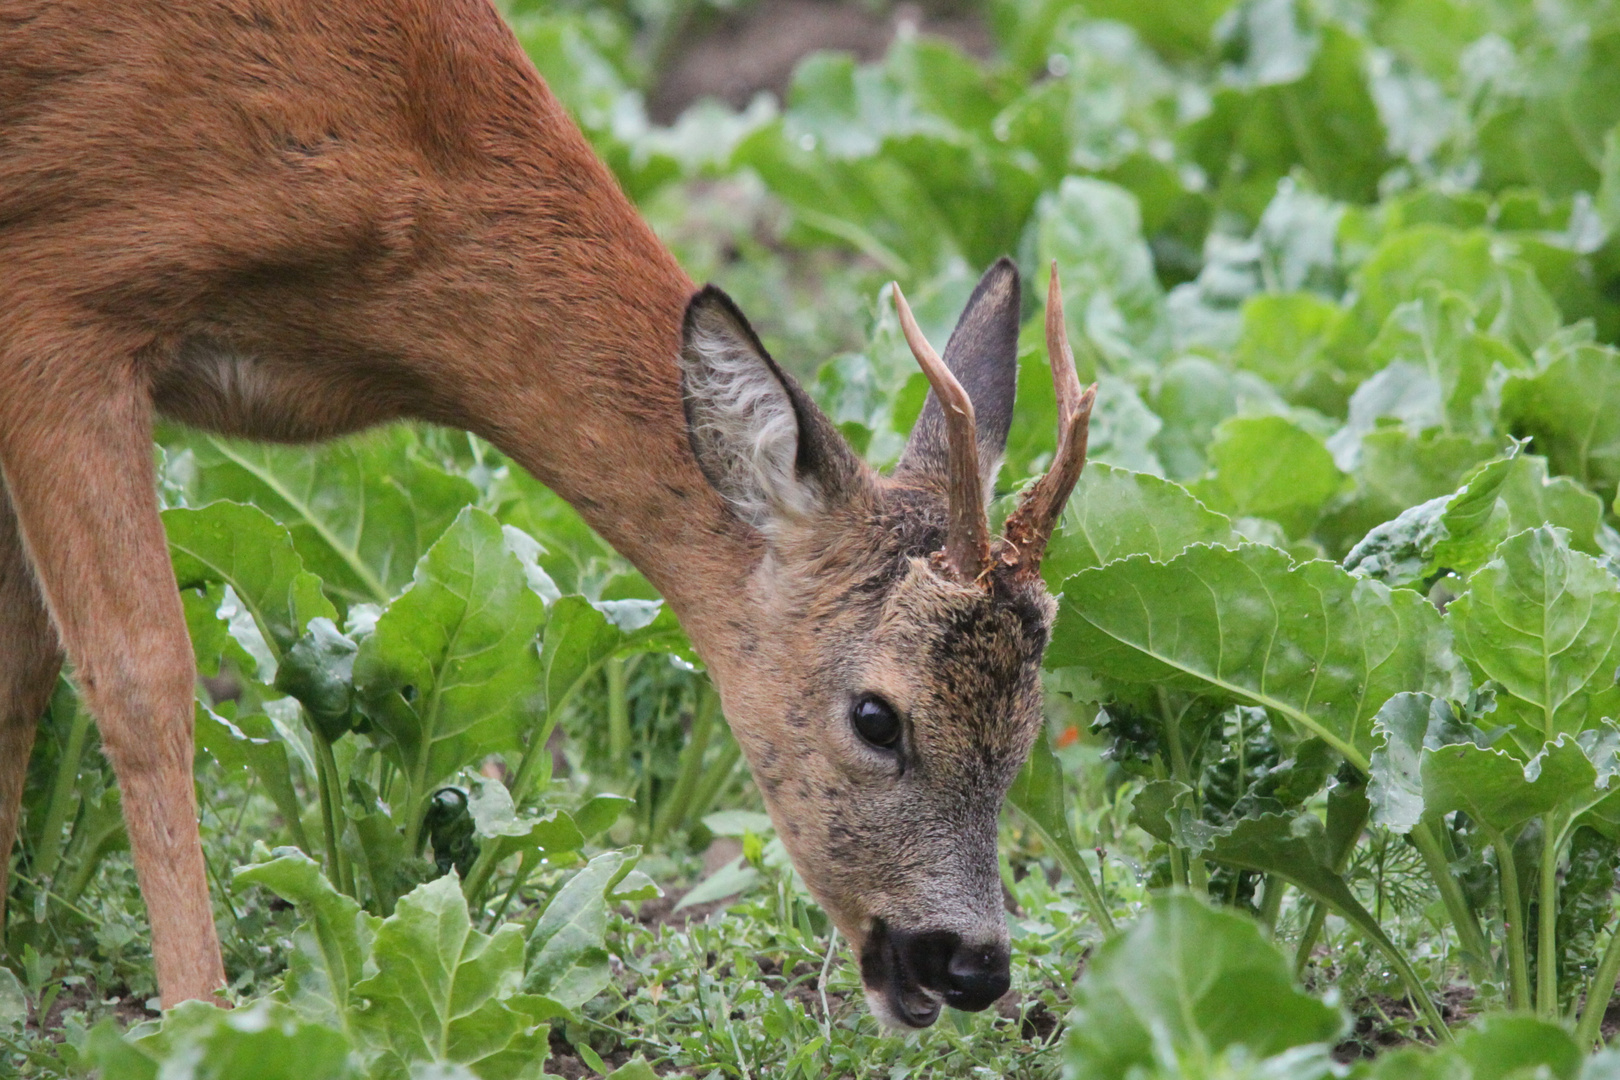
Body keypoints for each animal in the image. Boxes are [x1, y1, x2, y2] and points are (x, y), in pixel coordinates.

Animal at [0, 0, 1095, 1029]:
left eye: (1030, 721)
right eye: (877, 716)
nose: (973, 965)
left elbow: (24, 668)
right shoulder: (59, 298)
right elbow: (140, 678)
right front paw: (199, 1017)